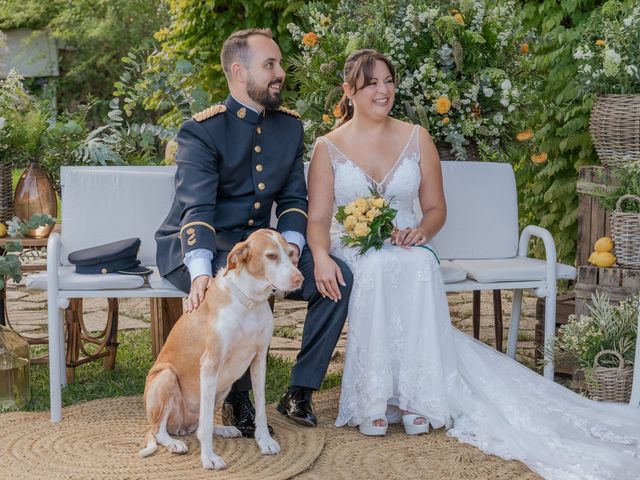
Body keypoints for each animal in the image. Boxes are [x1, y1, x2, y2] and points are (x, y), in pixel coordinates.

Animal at [139, 229, 304, 468]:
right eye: (271, 256)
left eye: (291, 254)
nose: (299, 278)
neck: (249, 302)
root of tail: (180, 427)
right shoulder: (210, 364)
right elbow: (206, 424)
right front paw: (209, 458)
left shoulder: (259, 361)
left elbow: (261, 409)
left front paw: (264, 441)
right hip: (167, 377)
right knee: (161, 431)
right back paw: (174, 443)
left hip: (224, 385)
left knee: (197, 425)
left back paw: (224, 430)